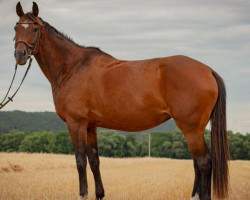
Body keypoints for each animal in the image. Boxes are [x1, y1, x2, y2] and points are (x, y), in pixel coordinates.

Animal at [13, 1, 229, 200]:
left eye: (35, 28)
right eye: (16, 28)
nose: (19, 55)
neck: (73, 68)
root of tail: (207, 70)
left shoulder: (76, 123)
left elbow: (80, 161)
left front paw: (83, 195)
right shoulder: (90, 126)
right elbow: (94, 160)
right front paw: (99, 194)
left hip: (191, 128)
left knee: (204, 162)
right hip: (193, 129)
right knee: (197, 163)